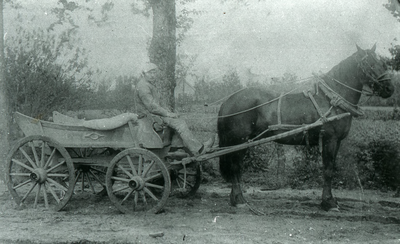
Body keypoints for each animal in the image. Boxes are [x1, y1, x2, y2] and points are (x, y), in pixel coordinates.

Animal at [216, 44, 394, 212]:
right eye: (369, 64)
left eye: (383, 63)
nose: (390, 89)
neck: (330, 99)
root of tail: (228, 100)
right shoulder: (330, 140)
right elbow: (328, 170)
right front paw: (328, 203)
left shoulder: (337, 142)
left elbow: (330, 168)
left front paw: (331, 201)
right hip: (240, 140)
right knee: (235, 167)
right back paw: (239, 200)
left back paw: (235, 199)